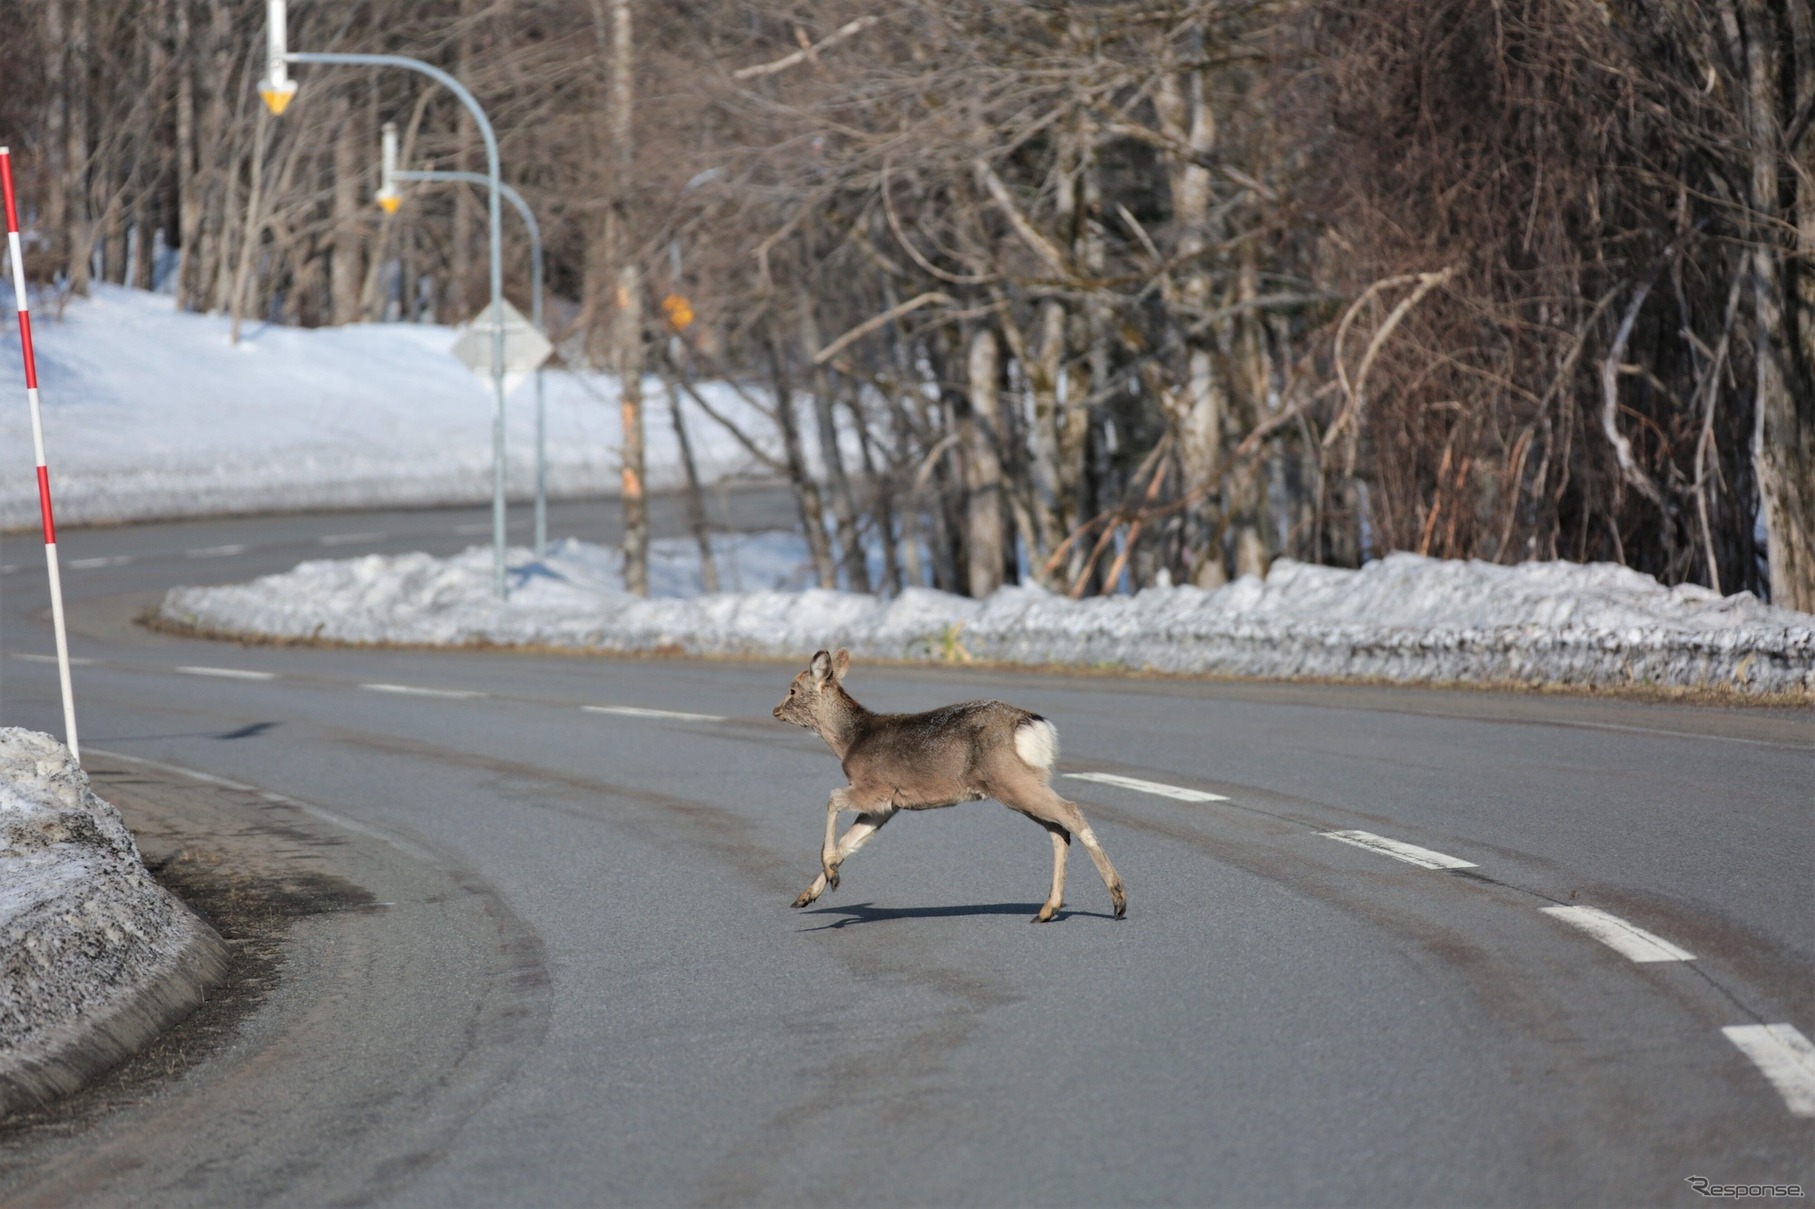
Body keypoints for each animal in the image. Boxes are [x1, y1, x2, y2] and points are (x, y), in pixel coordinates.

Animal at [773, 646, 1125, 918]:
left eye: (792, 689)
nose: (776, 710)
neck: (850, 741)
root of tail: (1034, 726)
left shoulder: (875, 788)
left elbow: (832, 799)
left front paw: (829, 875)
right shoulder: (886, 807)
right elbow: (849, 842)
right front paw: (808, 894)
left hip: (1011, 780)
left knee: (1071, 812)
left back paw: (1118, 899)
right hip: (1020, 784)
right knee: (1058, 829)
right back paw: (1048, 910)